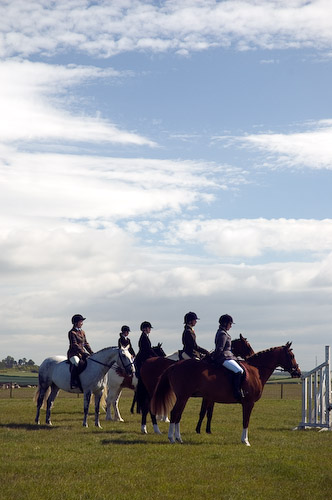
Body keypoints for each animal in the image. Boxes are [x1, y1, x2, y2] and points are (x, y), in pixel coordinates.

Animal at [150, 344, 300, 446]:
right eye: (291, 356)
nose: (298, 372)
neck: (255, 370)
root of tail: (174, 365)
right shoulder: (248, 403)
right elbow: (246, 421)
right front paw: (245, 441)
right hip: (183, 396)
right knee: (175, 413)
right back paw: (172, 438)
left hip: (184, 397)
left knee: (178, 414)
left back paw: (178, 438)